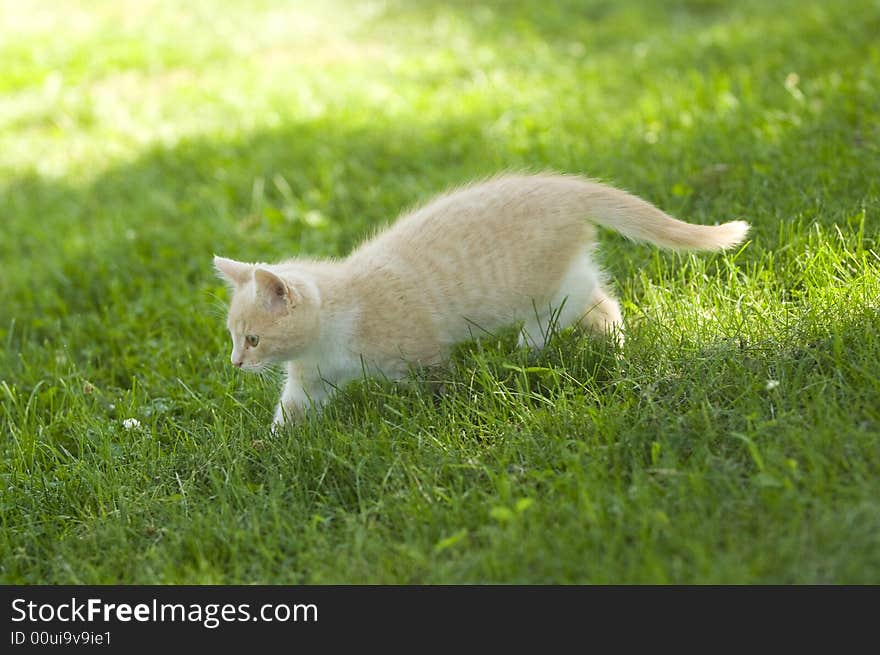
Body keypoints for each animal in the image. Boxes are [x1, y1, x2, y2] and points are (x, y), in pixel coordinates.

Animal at [213, 172, 748, 434]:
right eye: (235, 339)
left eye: (254, 339)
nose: (237, 363)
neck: (333, 329)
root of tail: (569, 188)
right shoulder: (311, 378)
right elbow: (293, 409)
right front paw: (271, 447)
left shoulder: (420, 351)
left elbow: (438, 384)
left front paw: (437, 416)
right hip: (565, 273)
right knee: (600, 298)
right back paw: (610, 345)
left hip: (541, 286)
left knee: (575, 306)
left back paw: (535, 349)